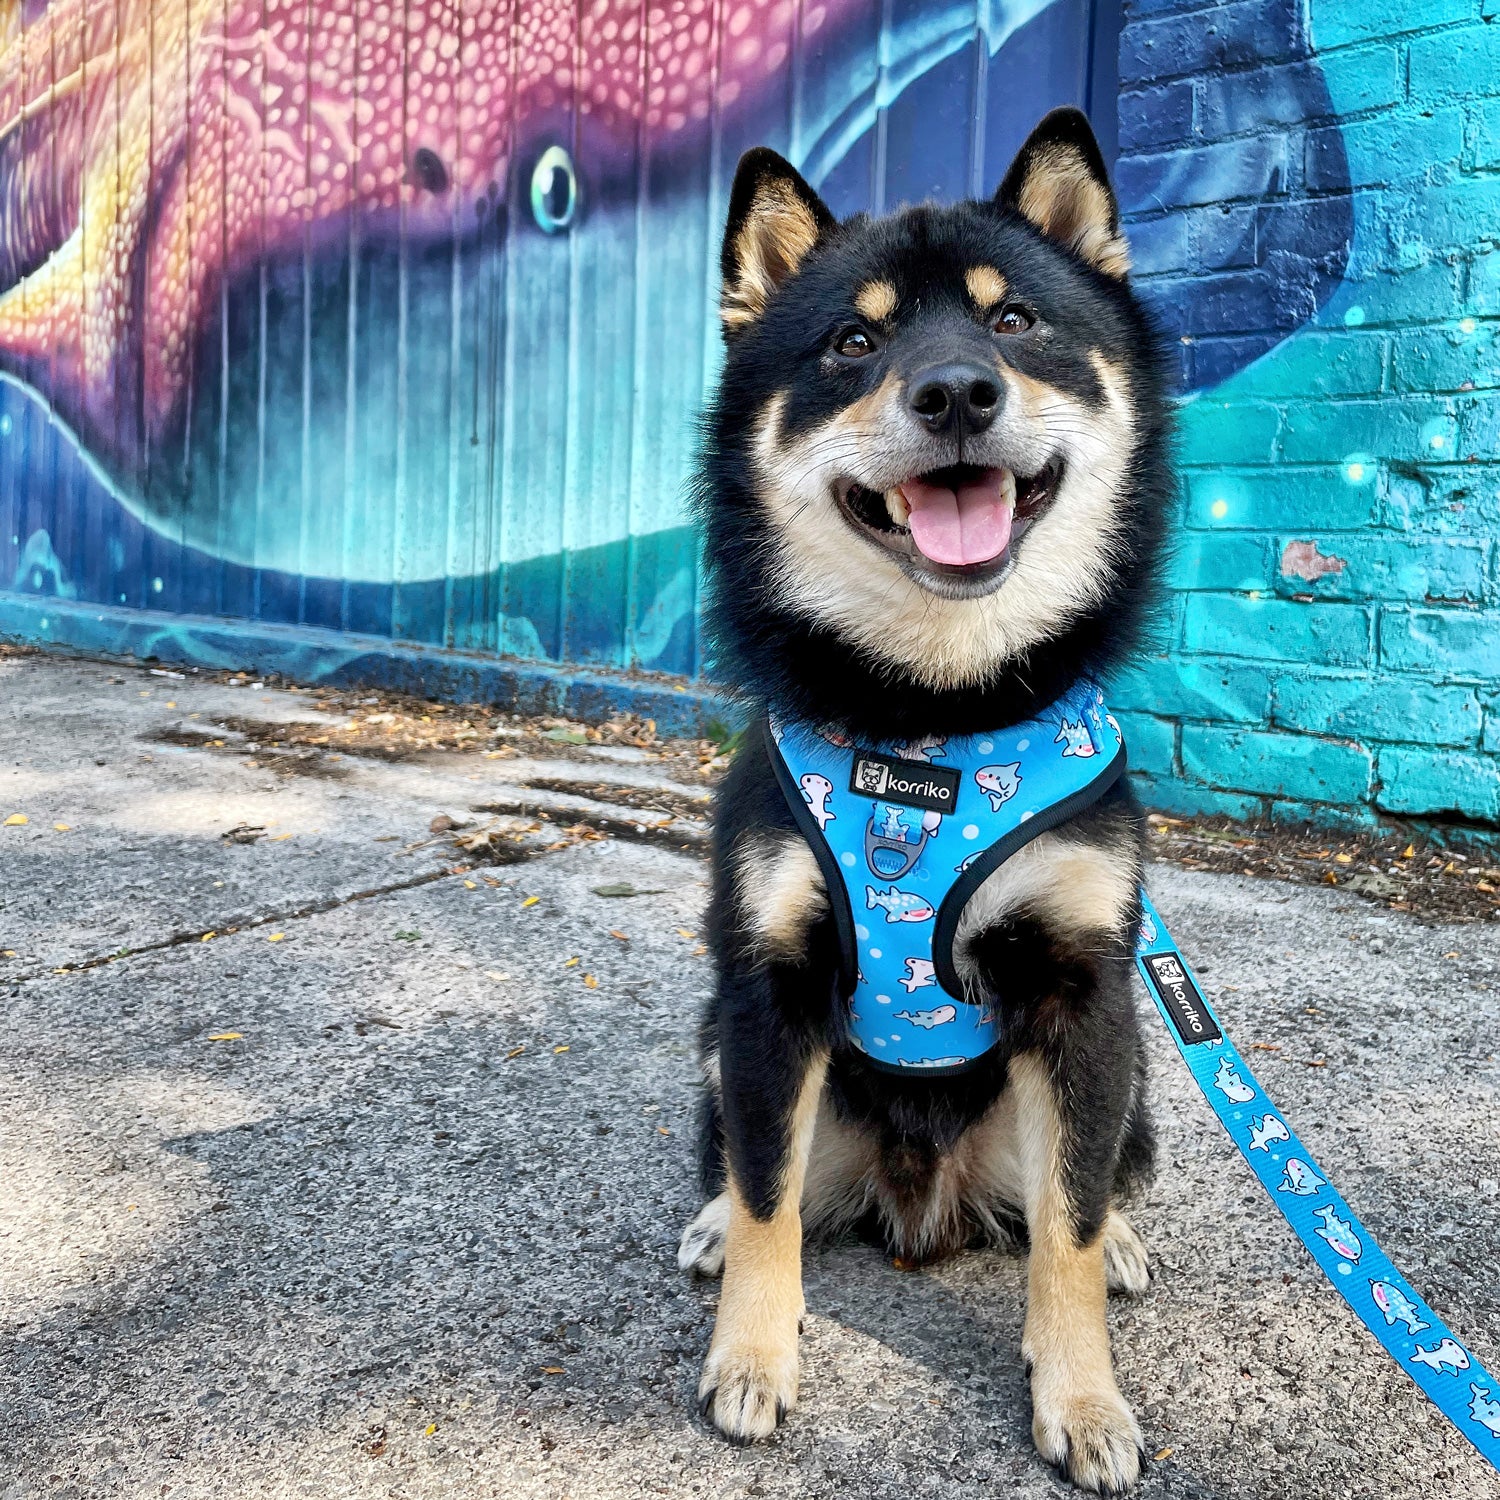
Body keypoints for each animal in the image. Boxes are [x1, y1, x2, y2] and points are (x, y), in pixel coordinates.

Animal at [678, 108, 1170, 1488]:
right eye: (853, 342)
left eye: (1013, 322)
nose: (956, 392)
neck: (935, 719)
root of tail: (917, 1205)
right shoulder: (769, 985)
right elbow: (767, 1194)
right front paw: (753, 1355)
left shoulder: (1083, 990)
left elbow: (1065, 1224)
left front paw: (1083, 1398)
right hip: (716, 1041)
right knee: (755, 1166)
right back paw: (708, 1227)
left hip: (1137, 1062)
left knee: (1088, 1184)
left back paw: (1120, 1245)